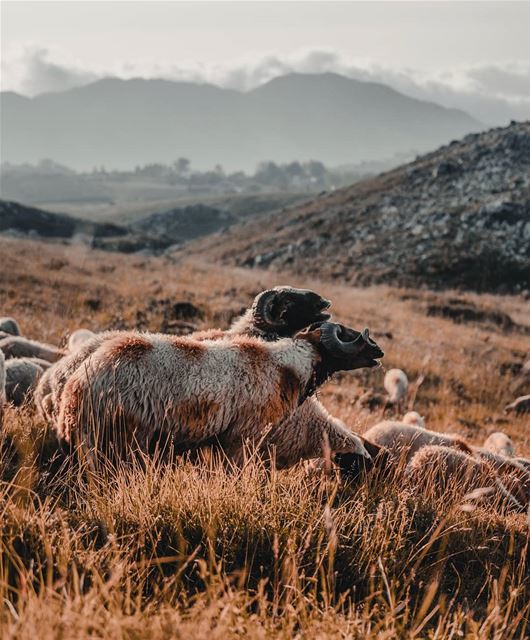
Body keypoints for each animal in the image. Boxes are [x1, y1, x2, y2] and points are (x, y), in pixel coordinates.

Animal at [55, 320, 382, 464]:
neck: (287, 366)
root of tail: (75, 389)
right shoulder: (241, 439)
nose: (378, 351)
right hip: (118, 441)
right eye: (348, 334)